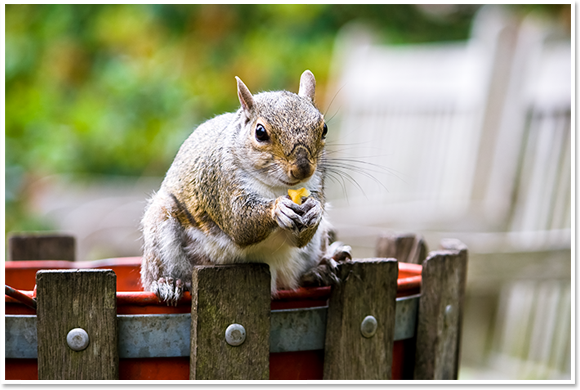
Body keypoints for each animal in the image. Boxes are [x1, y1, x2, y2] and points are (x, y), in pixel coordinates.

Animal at [140, 70, 352, 304]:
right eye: (260, 132)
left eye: (324, 128)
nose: (303, 168)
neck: (276, 186)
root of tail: (275, 280)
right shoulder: (220, 181)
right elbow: (239, 222)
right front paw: (278, 208)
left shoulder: (315, 185)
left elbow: (299, 238)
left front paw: (315, 209)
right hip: (162, 230)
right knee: (159, 272)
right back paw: (169, 283)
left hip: (315, 244)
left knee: (300, 276)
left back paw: (321, 268)